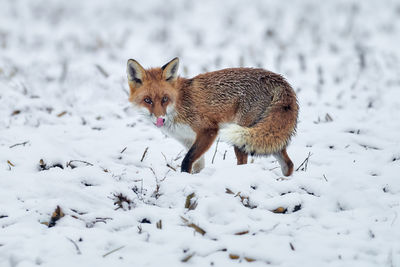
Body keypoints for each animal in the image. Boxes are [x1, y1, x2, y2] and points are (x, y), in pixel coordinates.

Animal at [126, 57, 298, 177]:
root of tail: (277, 78)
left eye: (164, 99)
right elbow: (197, 165)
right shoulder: (187, 139)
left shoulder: (208, 130)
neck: (179, 103)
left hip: (242, 137)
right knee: (288, 164)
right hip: (265, 137)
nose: (160, 119)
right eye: (147, 100)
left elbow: (186, 161)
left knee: (244, 162)